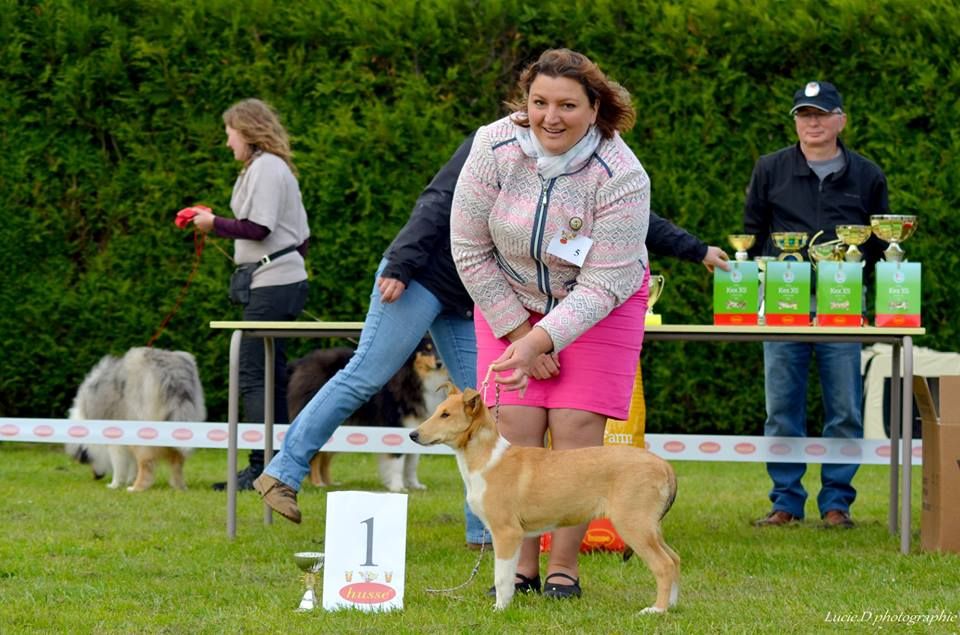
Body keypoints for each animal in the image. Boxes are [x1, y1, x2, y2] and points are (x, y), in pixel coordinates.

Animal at [65, 347, 206, 492]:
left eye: (86, 459)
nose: (96, 477)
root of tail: (173, 374)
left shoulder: (115, 441)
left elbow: (118, 465)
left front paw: (115, 484)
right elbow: (132, 464)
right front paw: (129, 479)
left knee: (147, 464)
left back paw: (137, 488)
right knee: (177, 461)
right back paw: (179, 487)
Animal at [287, 337, 448, 492]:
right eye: (427, 349)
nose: (439, 363)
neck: (414, 377)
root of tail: (302, 362)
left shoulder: (416, 426)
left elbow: (412, 463)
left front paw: (414, 485)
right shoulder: (395, 424)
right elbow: (397, 462)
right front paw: (397, 487)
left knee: (324, 458)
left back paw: (329, 484)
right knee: (314, 456)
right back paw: (318, 484)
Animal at [409, 384, 680, 613]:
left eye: (446, 415)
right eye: (437, 411)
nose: (413, 434)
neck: (486, 459)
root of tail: (664, 465)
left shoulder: (506, 532)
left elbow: (501, 576)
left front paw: (499, 610)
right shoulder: (514, 535)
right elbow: (509, 575)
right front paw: (507, 604)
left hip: (633, 524)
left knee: (664, 565)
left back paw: (656, 610)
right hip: (650, 526)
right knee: (675, 558)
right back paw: (673, 605)